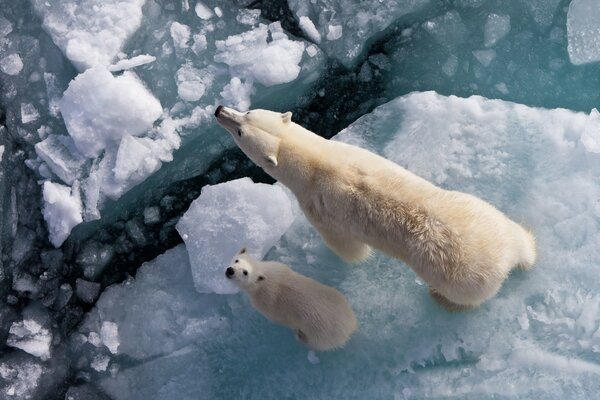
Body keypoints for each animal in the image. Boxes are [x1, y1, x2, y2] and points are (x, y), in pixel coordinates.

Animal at [214, 105, 536, 310]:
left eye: (241, 130)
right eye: (248, 113)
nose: (219, 110)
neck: (316, 162)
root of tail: (504, 257)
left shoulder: (319, 207)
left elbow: (347, 247)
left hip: (460, 277)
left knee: (463, 296)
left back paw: (439, 298)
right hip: (482, 211)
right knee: (518, 235)